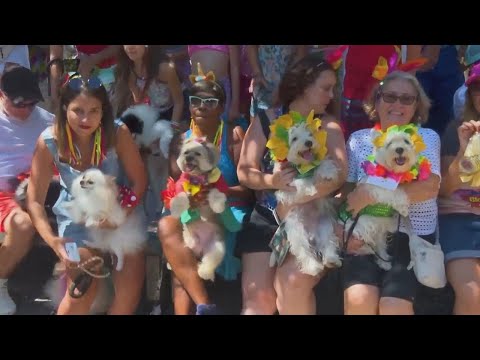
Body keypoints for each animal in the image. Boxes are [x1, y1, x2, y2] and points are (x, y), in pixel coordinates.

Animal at [162, 136, 228, 280]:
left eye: (197, 153)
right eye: (186, 152)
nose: (188, 158)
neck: (198, 178)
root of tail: (200, 247)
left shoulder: (217, 185)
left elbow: (216, 192)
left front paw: (218, 206)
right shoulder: (180, 185)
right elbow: (180, 197)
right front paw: (176, 209)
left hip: (217, 248)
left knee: (210, 260)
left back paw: (204, 272)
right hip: (187, 246)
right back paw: (170, 265)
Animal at [266, 111, 342, 278]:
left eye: (310, 134)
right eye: (294, 138)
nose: (308, 143)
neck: (303, 167)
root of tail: (312, 234)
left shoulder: (317, 163)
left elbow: (323, 164)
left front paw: (328, 173)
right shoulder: (285, 182)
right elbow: (299, 182)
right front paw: (309, 188)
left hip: (325, 227)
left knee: (328, 243)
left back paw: (332, 260)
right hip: (297, 233)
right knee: (304, 252)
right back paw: (313, 267)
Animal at [342, 129, 416, 270]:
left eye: (406, 141)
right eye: (389, 144)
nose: (399, 149)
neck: (390, 172)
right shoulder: (376, 189)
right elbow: (393, 193)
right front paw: (403, 207)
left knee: (379, 246)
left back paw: (384, 263)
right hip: (361, 226)